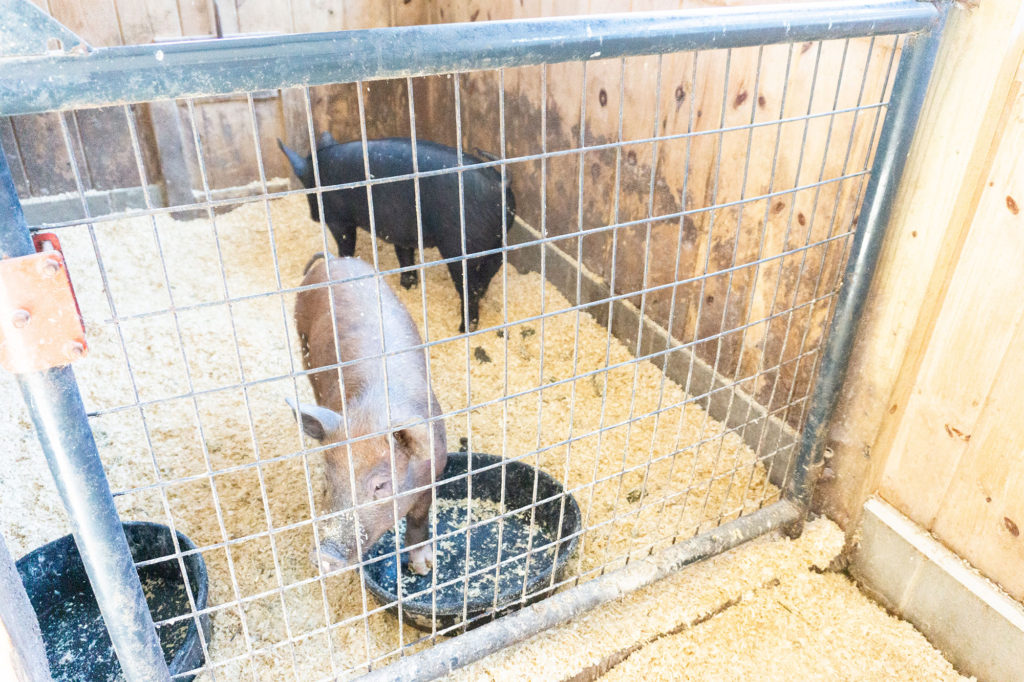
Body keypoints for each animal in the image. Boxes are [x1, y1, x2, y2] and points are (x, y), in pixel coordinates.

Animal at [276, 131, 516, 329]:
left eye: (306, 186)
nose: (313, 217)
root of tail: (498, 185)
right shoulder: (400, 229)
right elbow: (405, 256)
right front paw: (407, 286)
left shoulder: (339, 220)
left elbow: (346, 244)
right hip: (498, 237)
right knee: (493, 266)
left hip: (460, 245)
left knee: (469, 286)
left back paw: (465, 327)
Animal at [288, 250, 448, 573]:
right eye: (327, 483)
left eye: (380, 485)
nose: (325, 555)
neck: (372, 414)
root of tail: (332, 259)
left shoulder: (435, 470)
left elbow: (418, 518)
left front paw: (424, 567)